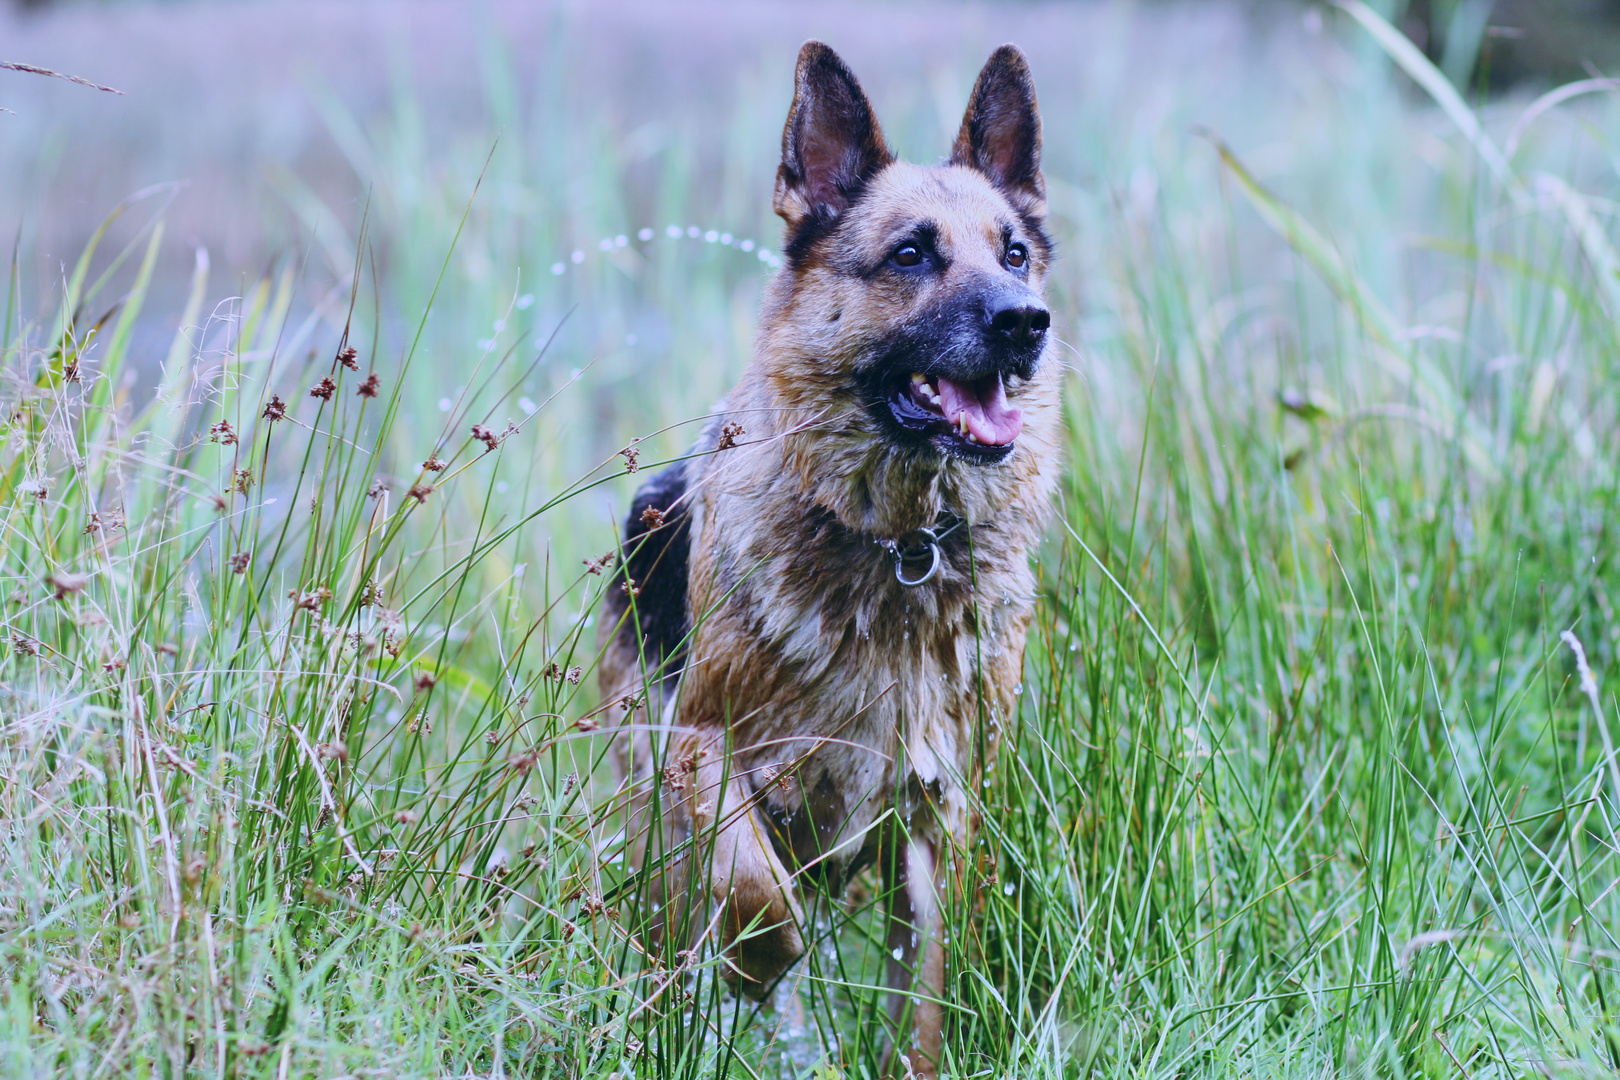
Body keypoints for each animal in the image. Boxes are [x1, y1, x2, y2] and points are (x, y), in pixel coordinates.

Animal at [599, 38, 1062, 1075]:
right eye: (910, 254)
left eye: (1013, 251)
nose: (1026, 321)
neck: (900, 545)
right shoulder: (703, 753)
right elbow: (760, 900)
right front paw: (752, 969)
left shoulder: (938, 815)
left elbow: (922, 1002)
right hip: (650, 818)